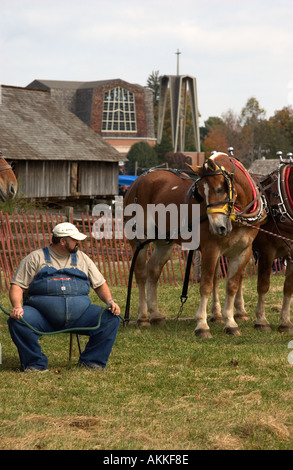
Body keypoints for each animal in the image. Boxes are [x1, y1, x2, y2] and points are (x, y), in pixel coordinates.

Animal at [123, 151, 264, 338]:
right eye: (201, 194)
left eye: (220, 189)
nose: (218, 227)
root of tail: (137, 182)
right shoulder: (211, 249)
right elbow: (206, 285)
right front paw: (202, 325)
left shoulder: (243, 251)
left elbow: (232, 286)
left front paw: (230, 322)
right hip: (138, 239)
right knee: (140, 274)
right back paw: (143, 317)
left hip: (164, 242)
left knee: (153, 270)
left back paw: (156, 315)